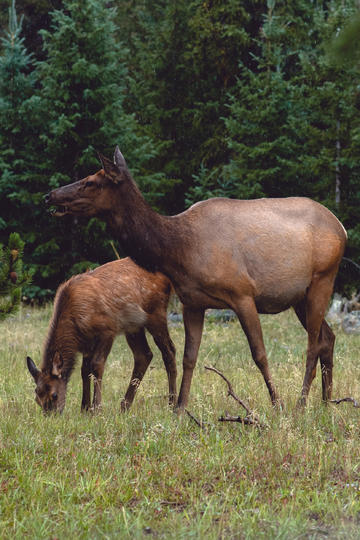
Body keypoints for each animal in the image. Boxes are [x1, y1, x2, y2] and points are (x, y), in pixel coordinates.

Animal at [26, 258, 176, 414]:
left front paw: (96, 408)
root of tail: (168, 280)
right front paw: (84, 408)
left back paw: (172, 404)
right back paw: (124, 406)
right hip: (134, 326)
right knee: (144, 355)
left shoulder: (107, 330)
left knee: (169, 351)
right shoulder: (86, 343)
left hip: (156, 311)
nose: (51, 415)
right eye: (37, 397)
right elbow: (84, 370)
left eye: (54, 395)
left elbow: (97, 365)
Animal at [45, 148, 346, 410]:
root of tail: (341, 228)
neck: (179, 250)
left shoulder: (243, 294)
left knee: (313, 345)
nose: (50, 195)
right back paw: (326, 401)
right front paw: (180, 407)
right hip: (299, 297)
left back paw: (301, 403)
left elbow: (259, 354)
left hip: (323, 278)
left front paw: (277, 404)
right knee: (328, 337)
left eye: (91, 181)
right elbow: (189, 357)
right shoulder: (192, 302)